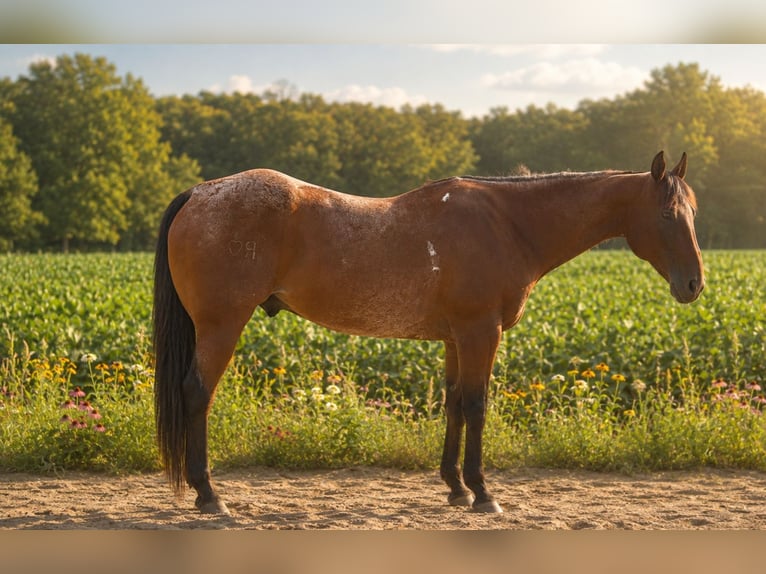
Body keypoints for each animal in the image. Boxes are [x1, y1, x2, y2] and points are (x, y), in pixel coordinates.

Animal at [152, 150, 704, 515]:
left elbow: (455, 404)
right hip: (222, 326)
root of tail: (200, 192)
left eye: (693, 212)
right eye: (667, 213)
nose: (694, 284)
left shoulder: (456, 338)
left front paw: (455, 488)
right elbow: (477, 405)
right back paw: (210, 496)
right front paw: (484, 494)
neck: (508, 223)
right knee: (196, 393)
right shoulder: (481, 332)